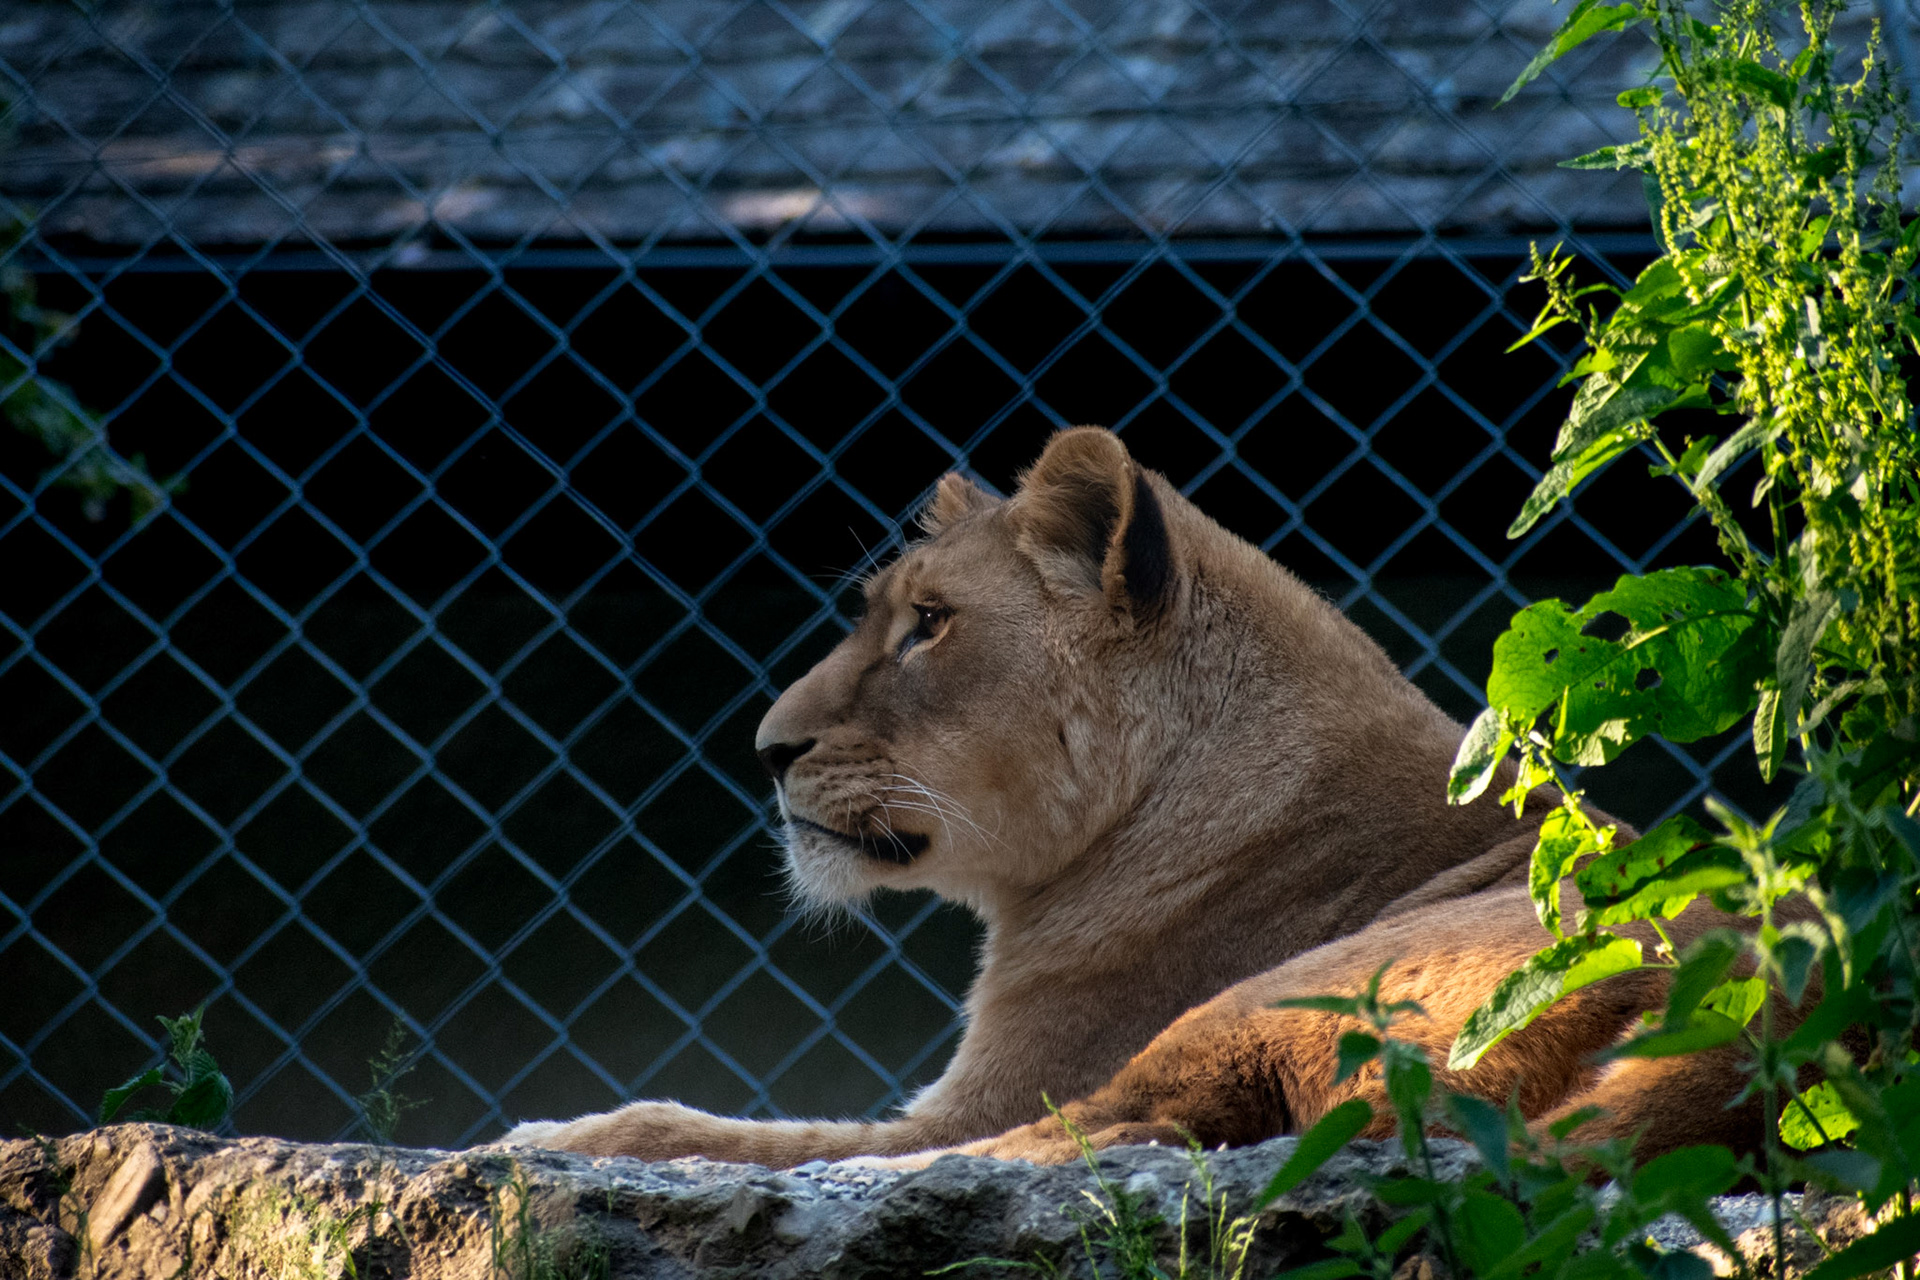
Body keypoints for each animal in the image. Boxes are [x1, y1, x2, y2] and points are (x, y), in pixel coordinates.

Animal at [502, 426, 1777, 1168]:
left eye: (931, 622)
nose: (768, 747)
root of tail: (1757, 1022)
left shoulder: (979, 1094)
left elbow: (752, 1134)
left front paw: (563, 1133)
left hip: (1263, 999)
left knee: (1036, 1145)